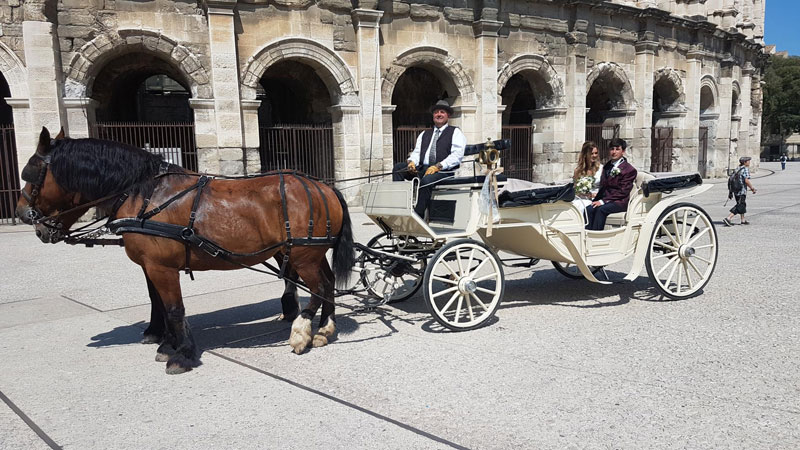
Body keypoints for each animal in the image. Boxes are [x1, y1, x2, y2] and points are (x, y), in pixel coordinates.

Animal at [14, 125, 354, 372]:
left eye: (28, 175)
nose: (24, 216)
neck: (144, 193)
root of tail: (324, 186)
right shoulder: (151, 264)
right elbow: (159, 304)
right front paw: (165, 342)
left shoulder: (162, 267)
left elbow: (175, 309)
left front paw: (182, 353)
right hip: (310, 253)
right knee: (328, 285)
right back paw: (325, 328)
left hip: (303, 255)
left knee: (319, 288)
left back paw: (303, 330)